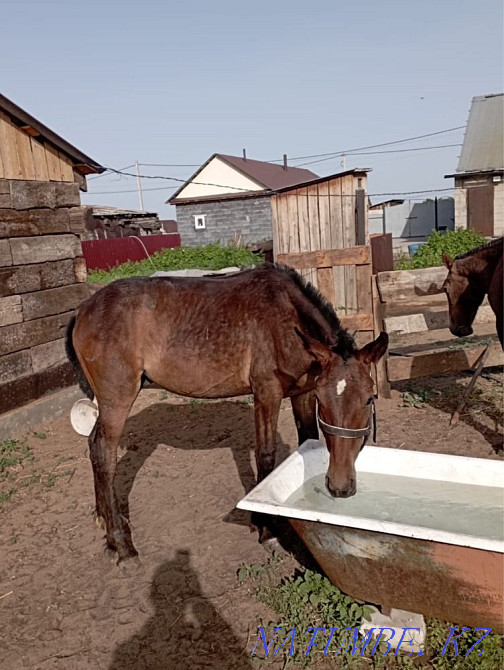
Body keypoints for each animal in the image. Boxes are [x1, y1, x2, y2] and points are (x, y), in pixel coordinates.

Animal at [66, 263, 388, 562]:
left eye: (369, 398)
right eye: (325, 399)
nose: (340, 486)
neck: (285, 319)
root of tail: (83, 310)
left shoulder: (303, 394)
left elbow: (306, 443)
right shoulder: (267, 393)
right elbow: (266, 455)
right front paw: (266, 528)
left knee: (94, 446)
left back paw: (104, 519)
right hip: (117, 399)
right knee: (104, 452)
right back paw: (121, 542)